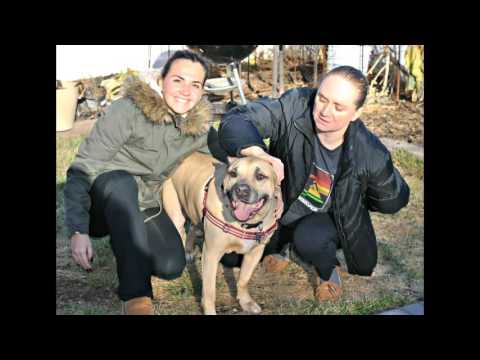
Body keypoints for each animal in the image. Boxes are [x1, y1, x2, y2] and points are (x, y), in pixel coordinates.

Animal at [162, 152, 280, 316]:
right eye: (233, 173)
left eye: (260, 176)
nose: (241, 190)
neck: (245, 224)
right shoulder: (211, 254)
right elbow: (210, 290)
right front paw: (209, 310)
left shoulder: (255, 252)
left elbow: (244, 279)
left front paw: (246, 302)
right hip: (176, 214)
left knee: (192, 227)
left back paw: (190, 250)